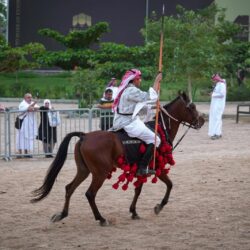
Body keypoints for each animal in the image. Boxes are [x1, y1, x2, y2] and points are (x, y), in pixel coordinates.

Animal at [30, 93, 205, 226]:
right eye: (192, 107)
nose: (202, 120)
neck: (159, 129)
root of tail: (84, 136)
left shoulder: (140, 170)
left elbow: (138, 190)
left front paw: (134, 212)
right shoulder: (158, 168)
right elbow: (169, 185)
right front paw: (159, 206)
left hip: (84, 171)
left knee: (69, 188)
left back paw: (62, 214)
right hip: (100, 173)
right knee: (90, 194)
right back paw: (101, 219)